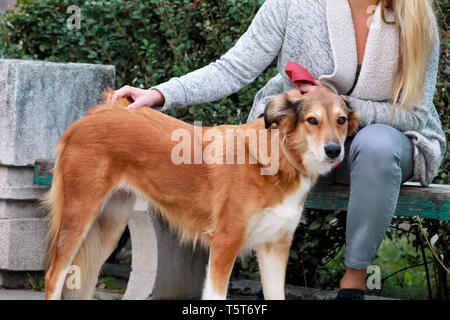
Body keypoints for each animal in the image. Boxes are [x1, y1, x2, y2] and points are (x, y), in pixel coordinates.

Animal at [42, 88, 358, 300]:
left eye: (341, 120)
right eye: (312, 120)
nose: (334, 151)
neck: (278, 160)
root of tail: (93, 114)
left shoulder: (274, 247)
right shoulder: (225, 244)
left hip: (110, 226)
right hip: (79, 218)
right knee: (53, 276)